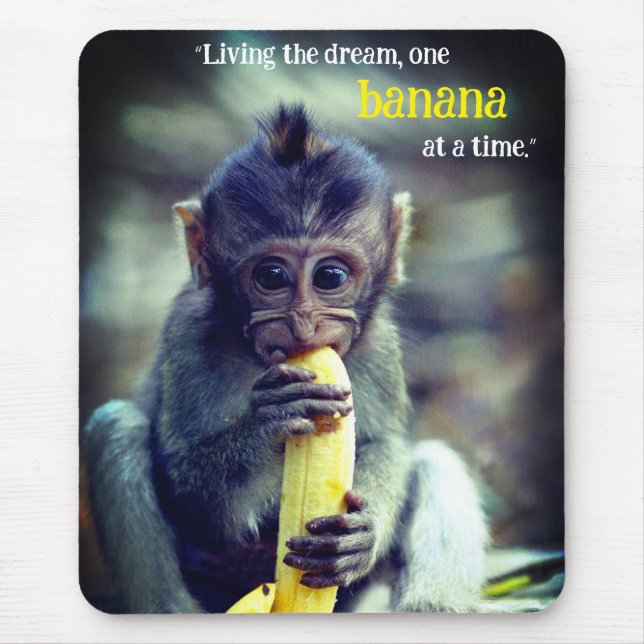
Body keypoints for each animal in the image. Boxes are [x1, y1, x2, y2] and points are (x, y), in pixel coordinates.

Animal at [82, 104, 488, 613]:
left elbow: (386, 445)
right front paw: (271, 419)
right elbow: (190, 486)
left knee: (435, 459)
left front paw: (364, 532)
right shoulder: (188, 335)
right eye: (272, 276)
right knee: (117, 426)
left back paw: (431, 606)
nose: (302, 325)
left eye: (330, 276)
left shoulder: (378, 345)